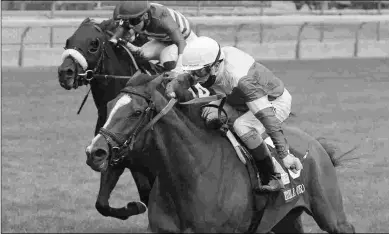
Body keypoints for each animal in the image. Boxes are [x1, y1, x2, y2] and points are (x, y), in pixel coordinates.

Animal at [56, 17, 162, 219]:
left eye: (94, 44)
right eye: (68, 41)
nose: (65, 72)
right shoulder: (109, 152)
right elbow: (102, 204)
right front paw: (134, 207)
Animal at [85, 74, 354, 232]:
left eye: (136, 112)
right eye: (109, 106)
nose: (95, 152)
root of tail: (316, 146)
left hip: (331, 215)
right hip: (286, 219)